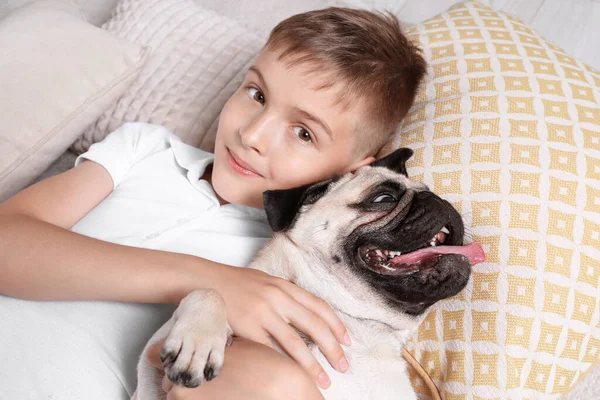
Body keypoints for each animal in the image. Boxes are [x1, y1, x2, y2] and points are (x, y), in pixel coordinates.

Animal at [134, 148, 486, 400]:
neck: (351, 321)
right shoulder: (149, 376)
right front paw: (198, 340)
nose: (439, 200)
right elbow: (208, 291)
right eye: (383, 198)